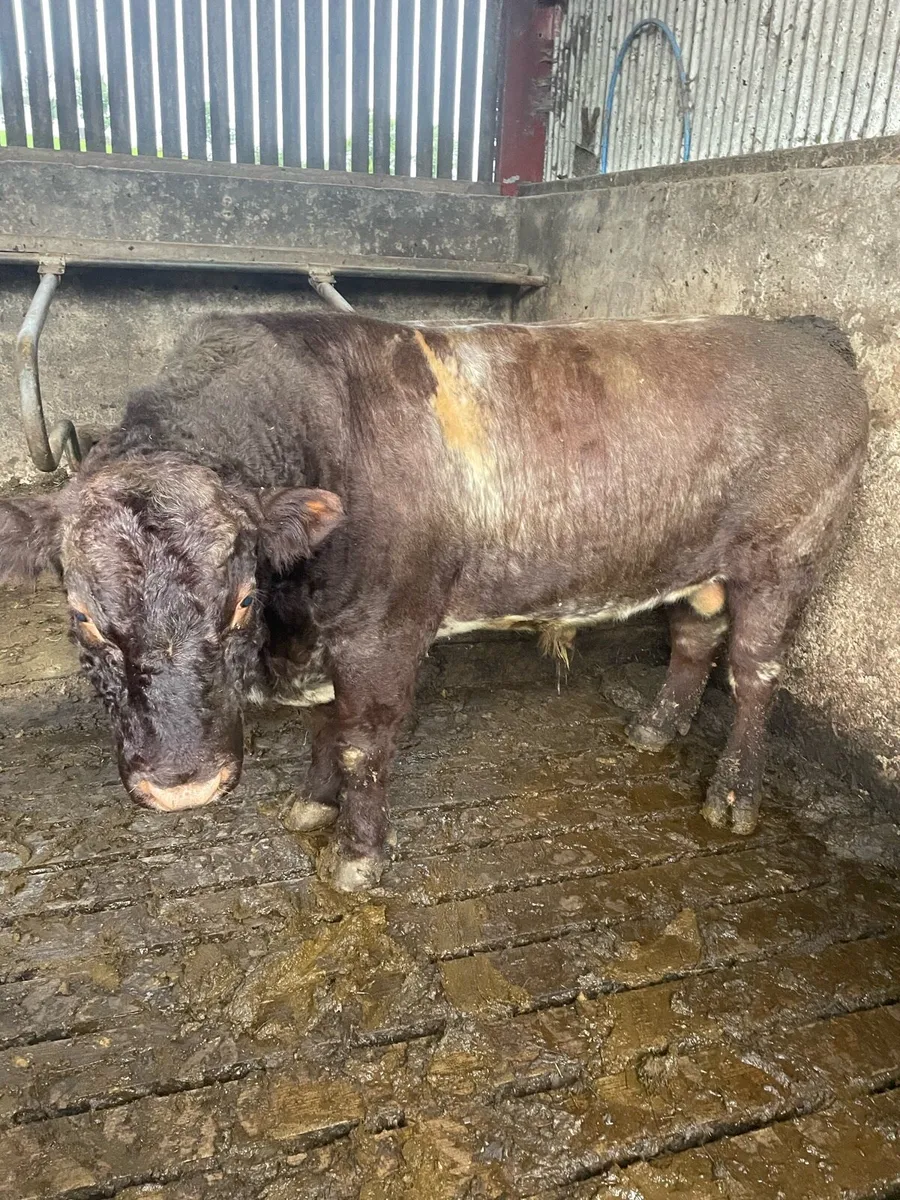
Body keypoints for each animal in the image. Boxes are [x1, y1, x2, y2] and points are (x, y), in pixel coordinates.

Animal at [0, 312, 868, 891]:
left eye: (242, 600)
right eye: (84, 619)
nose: (184, 783)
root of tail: (807, 329)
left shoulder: (385, 629)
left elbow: (364, 742)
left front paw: (357, 857)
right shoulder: (336, 632)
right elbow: (330, 728)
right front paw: (312, 807)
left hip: (783, 560)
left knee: (755, 673)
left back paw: (733, 794)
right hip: (699, 564)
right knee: (693, 637)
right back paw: (656, 729)